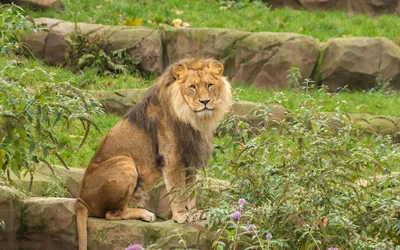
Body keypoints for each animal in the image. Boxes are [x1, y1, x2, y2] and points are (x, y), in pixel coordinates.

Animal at [76, 57, 231, 249]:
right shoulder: (172, 159)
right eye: (192, 87)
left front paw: (194, 213)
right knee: (110, 214)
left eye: (210, 85)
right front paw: (181, 216)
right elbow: (178, 190)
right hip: (125, 161)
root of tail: (81, 199)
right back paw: (146, 214)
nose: (205, 102)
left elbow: (191, 190)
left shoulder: (191, 159)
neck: (192, 118)